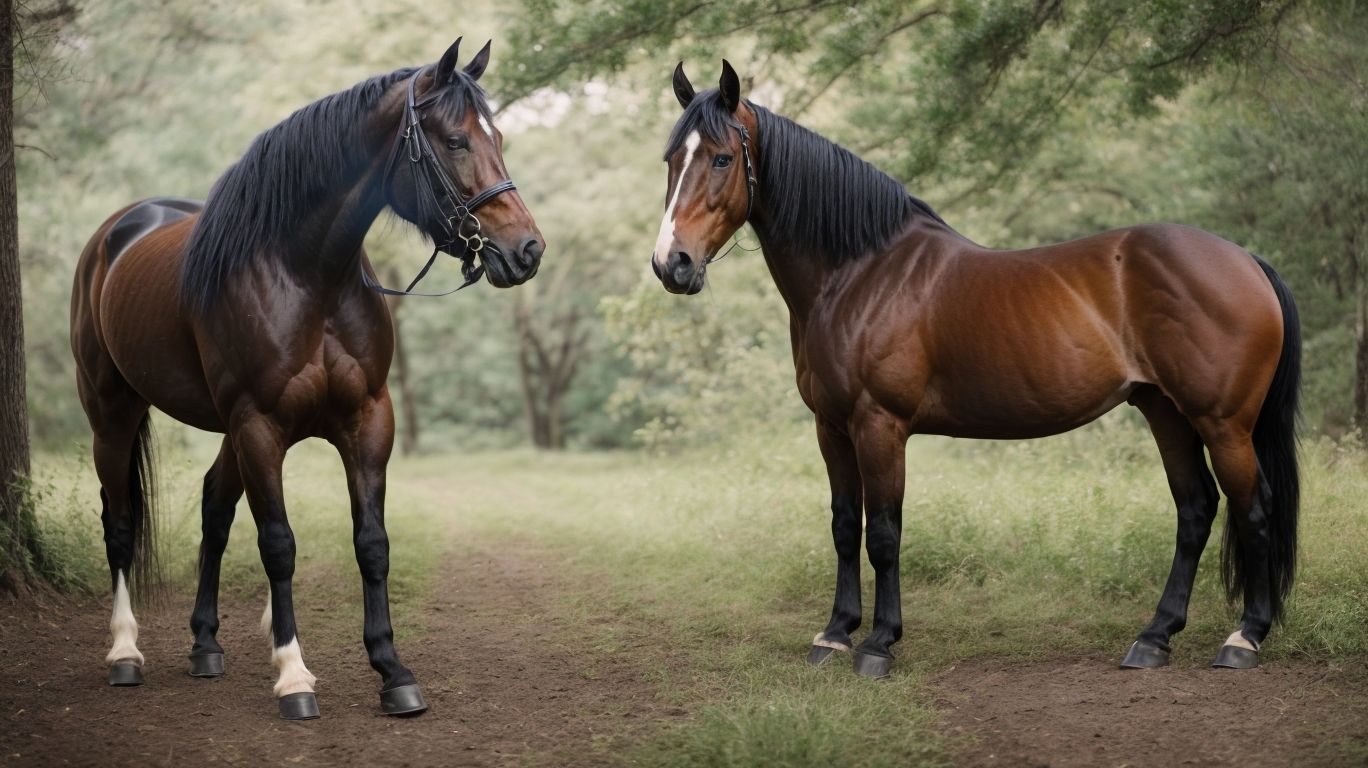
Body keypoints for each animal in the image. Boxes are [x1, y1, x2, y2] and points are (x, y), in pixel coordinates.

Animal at [70, 37, 544, 719]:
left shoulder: (367, 419)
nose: (527, 250)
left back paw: (205, 646)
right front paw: (293, 674)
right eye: (455, 141)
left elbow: (371, 542)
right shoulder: (259, 425)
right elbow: (278, 544)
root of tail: (115, 233)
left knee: (214, 508)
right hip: (113, 413)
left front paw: (392, 671)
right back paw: (125, 652)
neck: (305, 274)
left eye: (498, 136)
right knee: (121, 524)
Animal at [653, 61, 1300, 679]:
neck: (861, 272)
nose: (671, 264)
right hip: (1165, 411)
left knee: (1253, 508)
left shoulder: (878, 425)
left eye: (721, 157)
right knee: (1195, 509)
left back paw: (1243, 638)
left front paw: (879, 644)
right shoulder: (831, 427)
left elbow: (882, 532)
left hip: (1223, 424)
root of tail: (1246, 260)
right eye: (671, 160)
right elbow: (843, 526)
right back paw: (1154, 638)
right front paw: (834, 635)